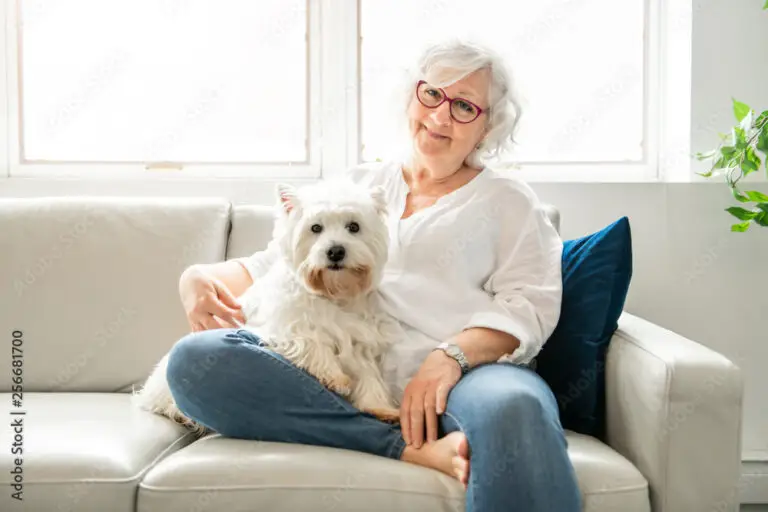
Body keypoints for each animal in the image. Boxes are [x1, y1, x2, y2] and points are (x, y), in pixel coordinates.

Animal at [130, 178, 402, 434]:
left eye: (354, 227)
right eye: (315, 228)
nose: (335, 251)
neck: (332, 293)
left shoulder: (361, 342)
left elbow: (370, 377)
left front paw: (381, 408)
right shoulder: (287, 328)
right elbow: (311, 343)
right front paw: (335, 377)